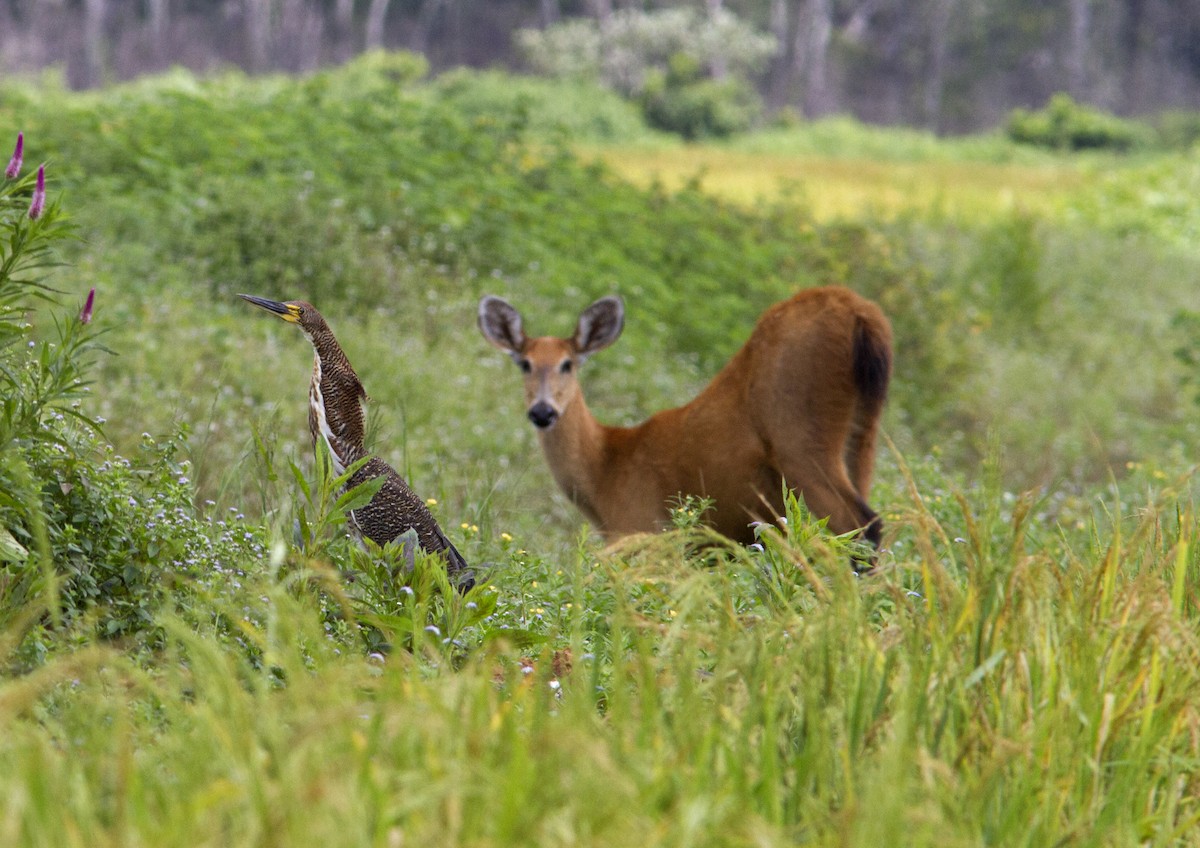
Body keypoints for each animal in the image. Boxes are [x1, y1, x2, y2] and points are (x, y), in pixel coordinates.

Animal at [477, 286, 892, 551]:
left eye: (568, 364)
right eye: (525, 363)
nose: (542, 411)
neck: (605, 471)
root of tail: (863, 315)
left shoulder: (641, 524)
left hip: (800, 435)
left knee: (863, 525)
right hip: (863, 433)